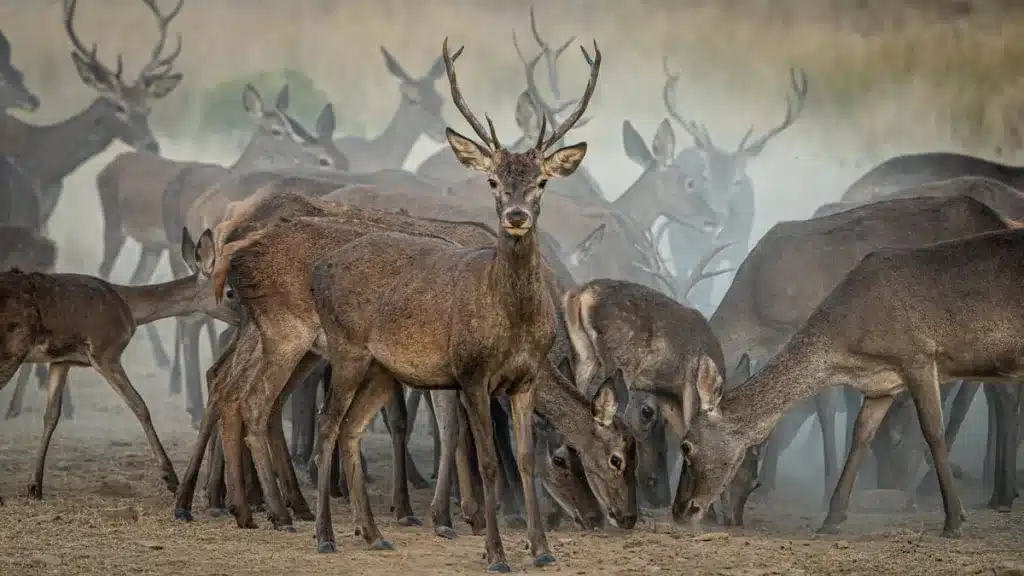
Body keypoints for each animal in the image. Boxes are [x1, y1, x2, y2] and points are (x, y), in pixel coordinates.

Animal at [307, 39, 634, 569]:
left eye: (542, 181)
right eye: (493, 181)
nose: (622, 517)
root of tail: (321, 270)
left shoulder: (521, 380)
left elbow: (521, 458)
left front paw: (541, 550)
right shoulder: (470, 373)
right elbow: (484, 457)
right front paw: (488, 545)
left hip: (382, 369)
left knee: (352, 428)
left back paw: (373, 533)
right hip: (347, 351)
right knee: (328, 425)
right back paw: (324, 534)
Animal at [663, 59, 806, 309]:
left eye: (737, 181)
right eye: (705, 177)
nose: (718, 215)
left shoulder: (740, 245)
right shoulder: (692, 249)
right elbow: (701, 289)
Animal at [679, 222, 1024, 537]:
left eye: (686, 446)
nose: (682, 509)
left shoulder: (919, 357)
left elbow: (933, 432)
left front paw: (954, 520)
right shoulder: (883, 382)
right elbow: (862, 434)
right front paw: (832, 518)